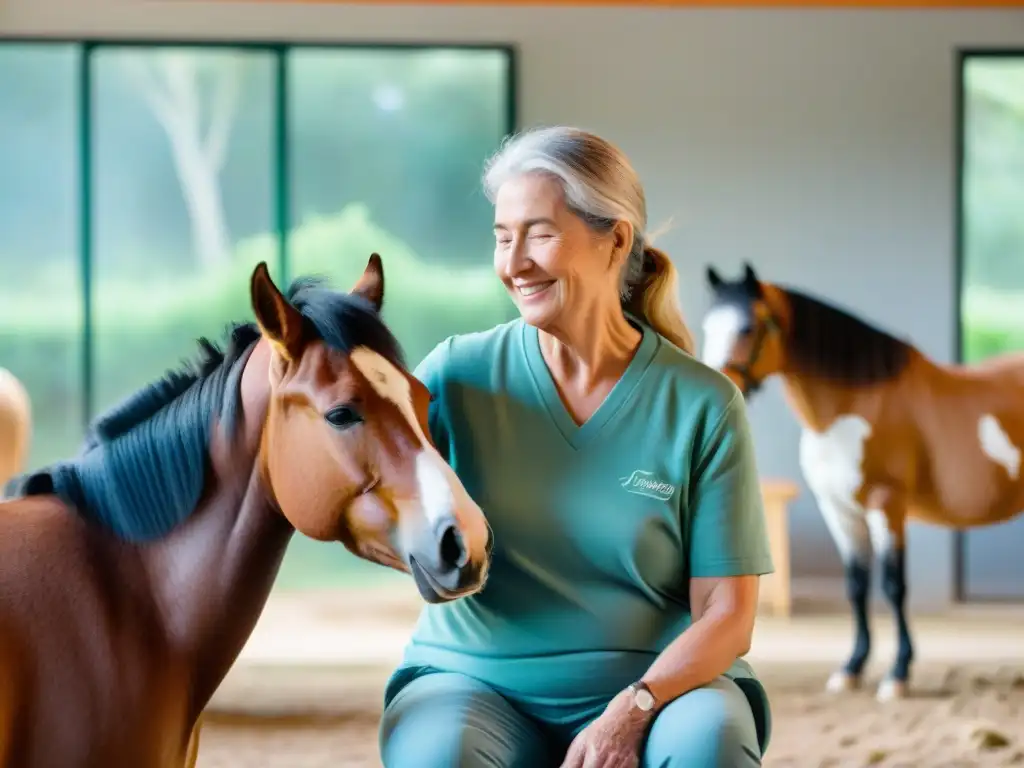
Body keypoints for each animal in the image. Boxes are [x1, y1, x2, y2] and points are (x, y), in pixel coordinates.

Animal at [700, 264, 1024, 704]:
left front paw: (898, 675)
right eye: (708, 326)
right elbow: (856, 586)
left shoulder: (886, 506)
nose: (718, 387)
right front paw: (851, 669)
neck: (854, 407)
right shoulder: (840, 511)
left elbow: (893, 586)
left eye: (748, 327)